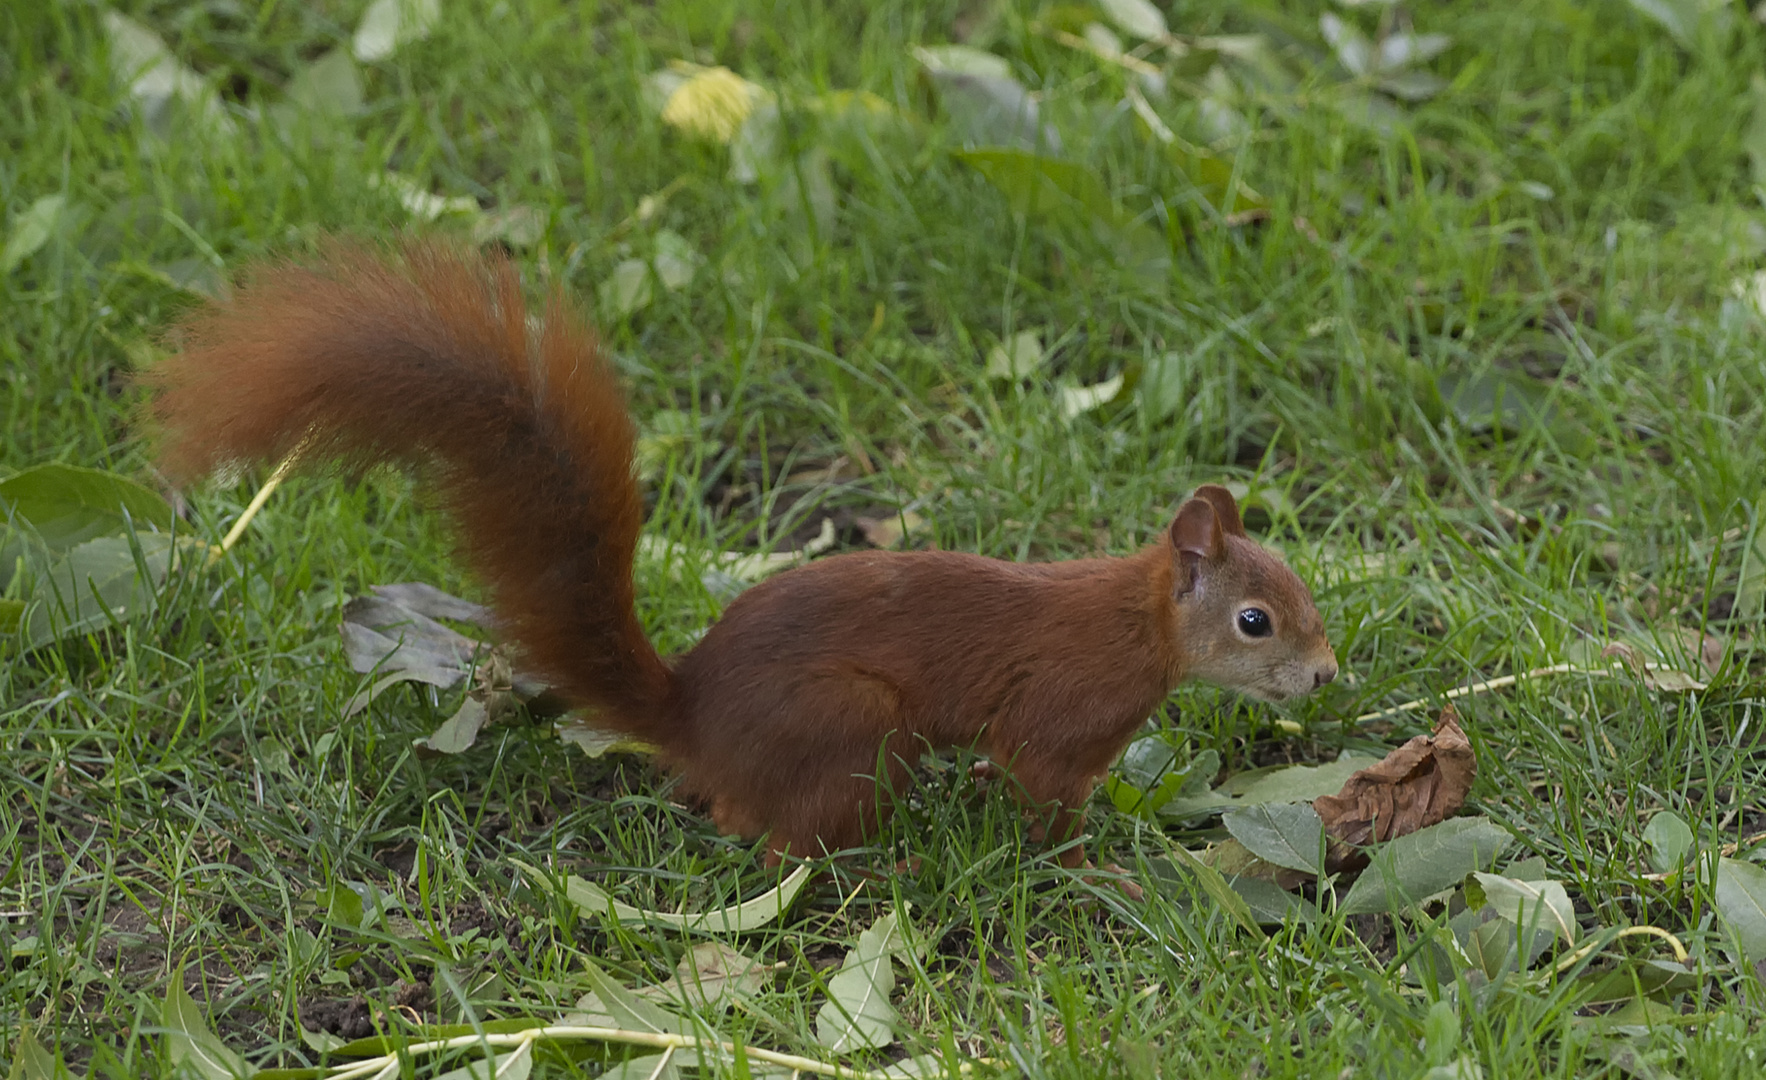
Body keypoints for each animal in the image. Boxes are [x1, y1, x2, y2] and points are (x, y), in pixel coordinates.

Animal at [148, 241, 1335, 868]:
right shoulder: (1058, 715)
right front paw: (1100, 871)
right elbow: (1043, 791)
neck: (1137, 620)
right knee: (778, 843)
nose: (1326, 677)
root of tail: (694, 720)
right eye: (1254, 620)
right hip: (855, 725)